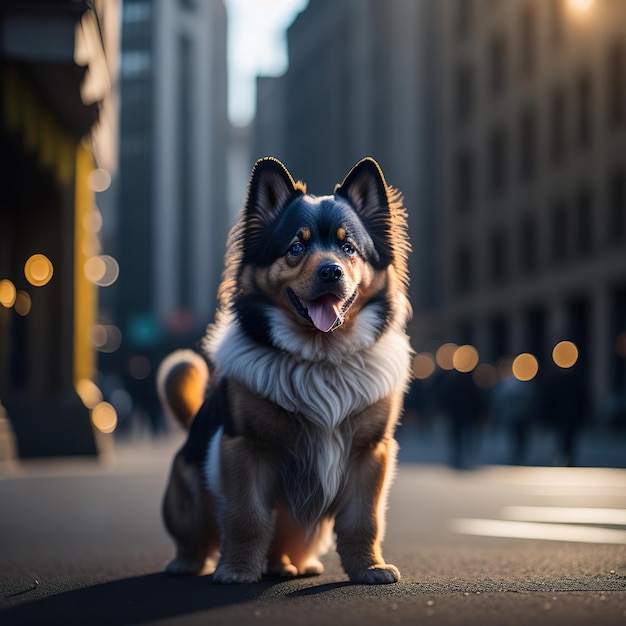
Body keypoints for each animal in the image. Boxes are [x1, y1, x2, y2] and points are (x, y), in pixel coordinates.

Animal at [157, 155, 410, 580]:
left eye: (349, 247)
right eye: (296, 247)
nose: (331, 271)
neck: (321, 355)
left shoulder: (371, 451)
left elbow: (365, 520)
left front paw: (369, 568)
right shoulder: (244, 447)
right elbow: (248, 518)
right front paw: (238, 570)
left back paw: (290, 565)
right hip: (185, 486)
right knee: (198, 537)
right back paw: (190, 562)